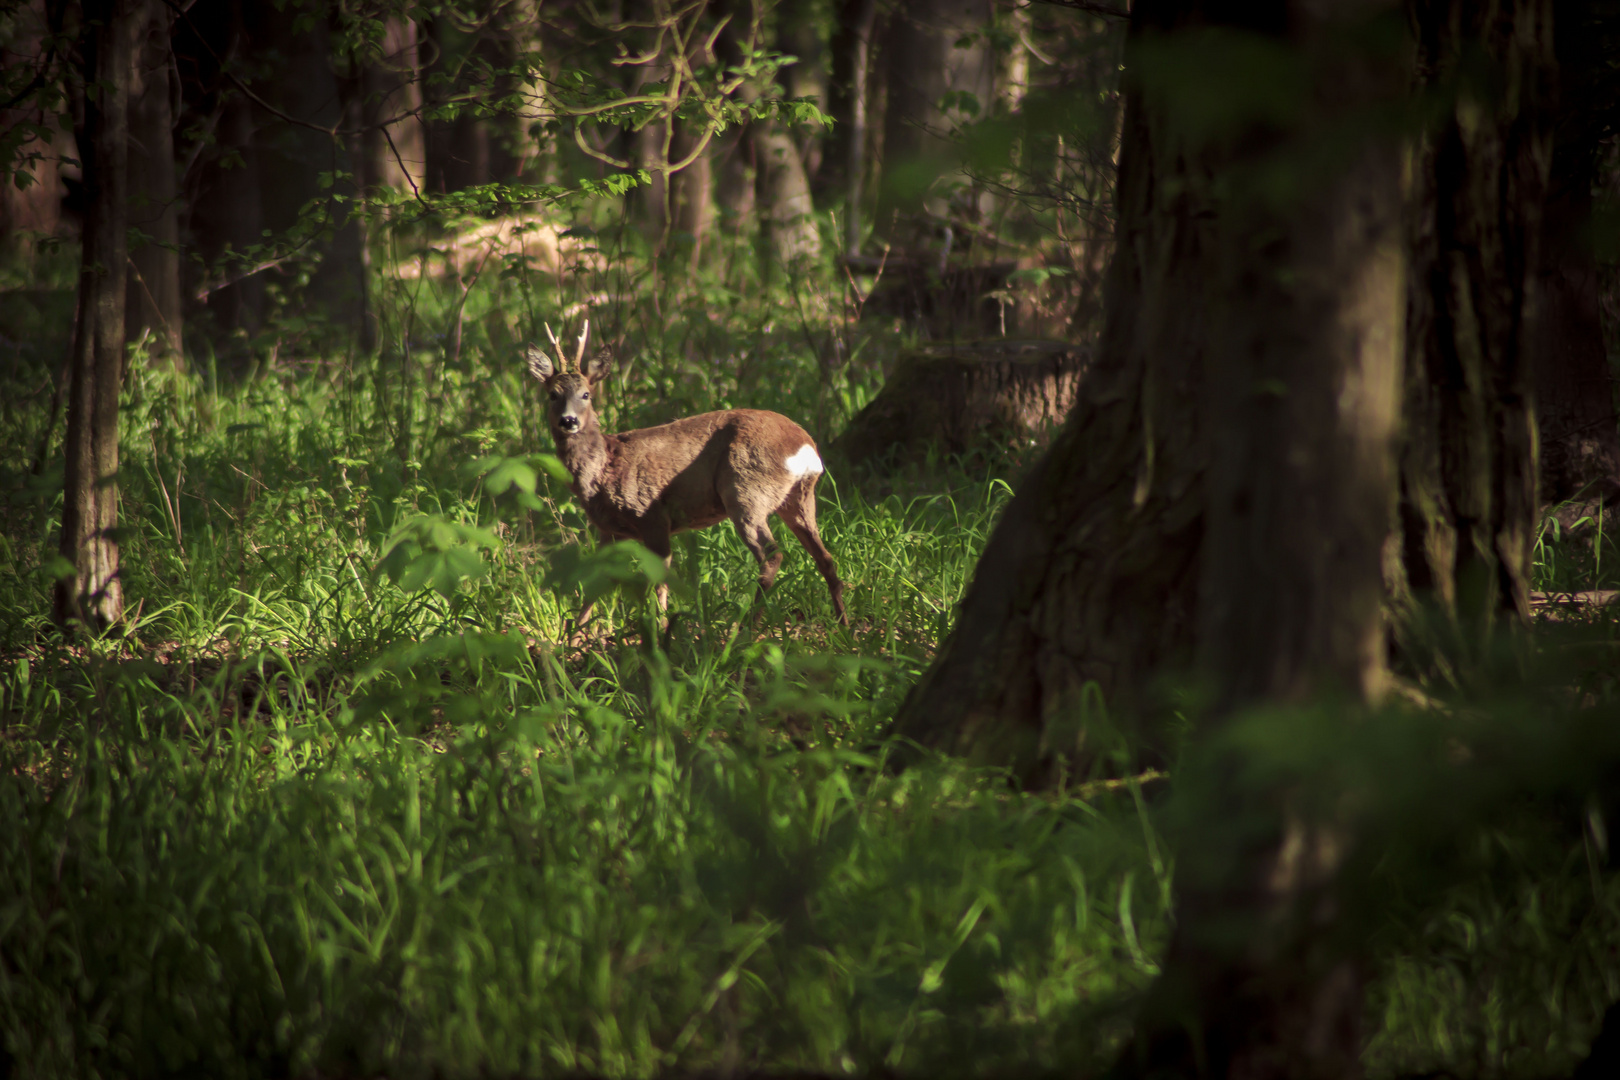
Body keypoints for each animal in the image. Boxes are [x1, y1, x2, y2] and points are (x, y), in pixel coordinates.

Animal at [528, 335, 848, 625]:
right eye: (552, 394)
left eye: (586, 394)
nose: (569, 421)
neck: (604, 467)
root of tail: (804, 446)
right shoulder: (609, 531)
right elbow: (594, 584)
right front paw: (576, 637)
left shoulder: (651, 516)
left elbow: (659, 580)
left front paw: (659, 629)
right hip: (799, 498)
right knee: (826, 558)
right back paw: (842, 624)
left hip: (745, 491)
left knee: (772, 555)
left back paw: (744, 627)